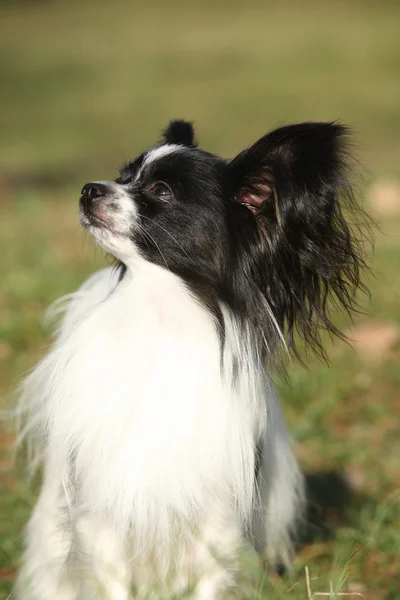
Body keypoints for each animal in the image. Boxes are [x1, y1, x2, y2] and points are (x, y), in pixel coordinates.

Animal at [14, 119, 368, 596]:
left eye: (161, 191)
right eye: (124, 176)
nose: (90, 189)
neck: (159, 316)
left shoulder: (218, 523)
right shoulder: (101, 515)